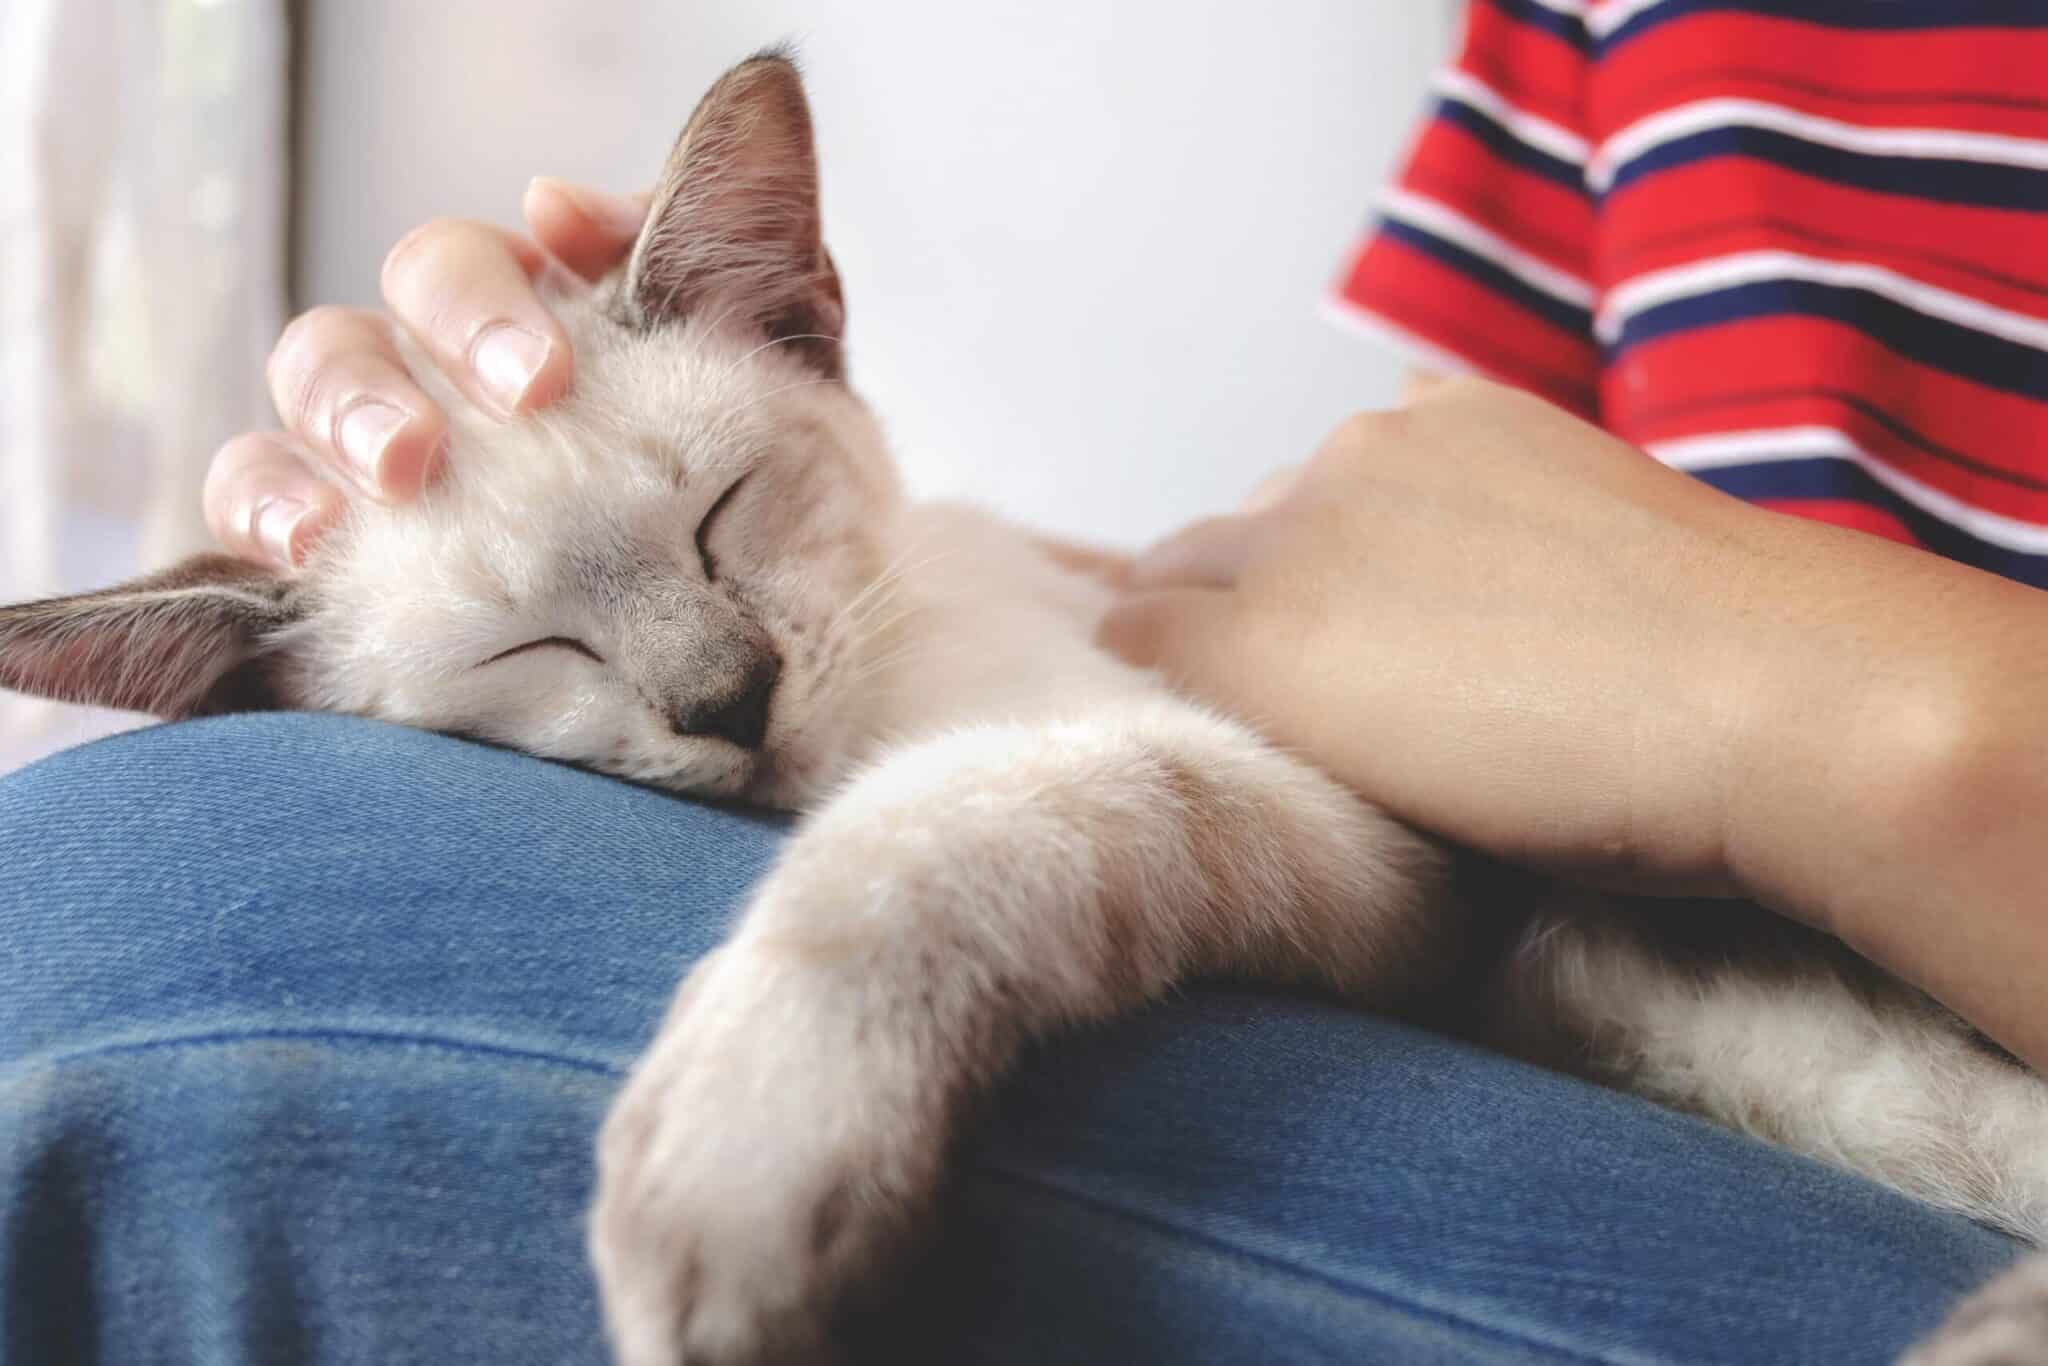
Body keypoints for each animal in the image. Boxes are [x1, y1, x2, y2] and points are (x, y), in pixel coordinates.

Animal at [0, 48, 2039, 1366]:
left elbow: (914, 840)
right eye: (536, 657)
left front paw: (728, 1211)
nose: (733, 700)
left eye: (722, 516)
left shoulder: (1318, 827)